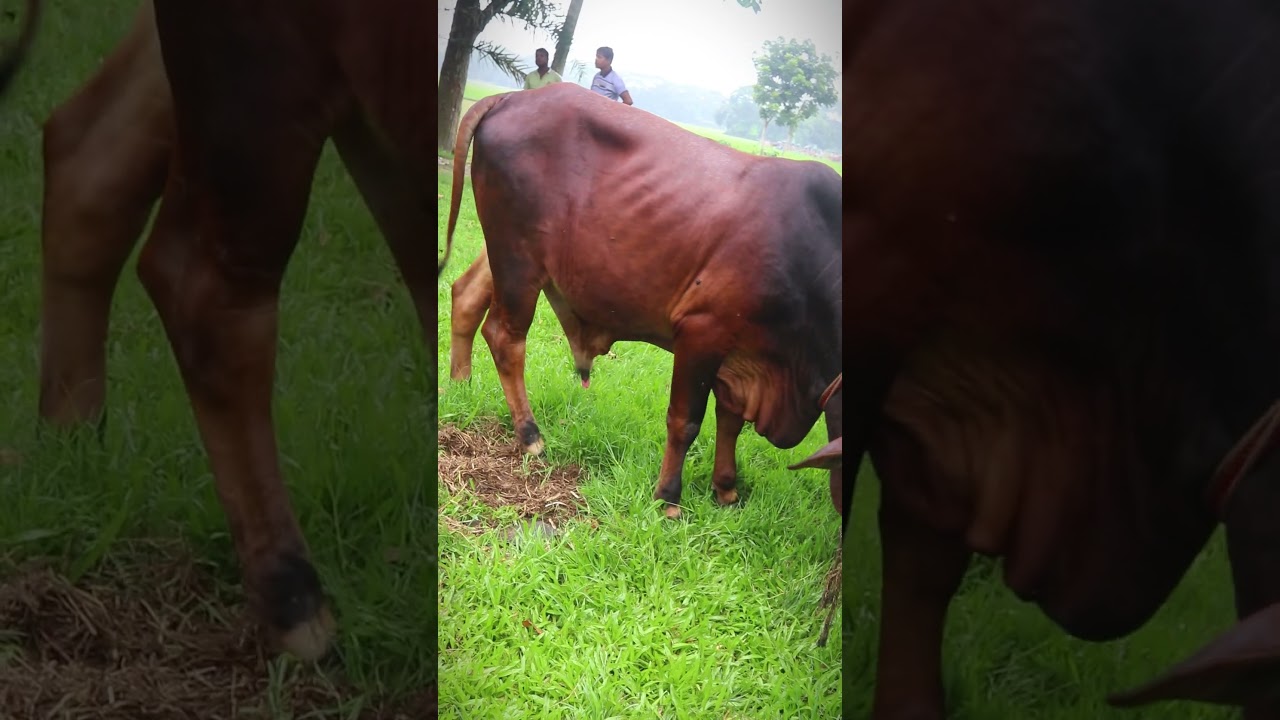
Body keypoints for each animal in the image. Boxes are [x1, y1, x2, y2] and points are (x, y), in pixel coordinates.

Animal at [441, 82, 843, 525]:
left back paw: (460, 384)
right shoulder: (702, 331)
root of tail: (511, 96)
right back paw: (530, 436)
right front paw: (668, 497)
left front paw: (726, 488)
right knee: (504, 337)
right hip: (518, 258)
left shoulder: (739, 357)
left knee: (466, 295)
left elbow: (730, 421)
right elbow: (686, 421)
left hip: (508, 253)